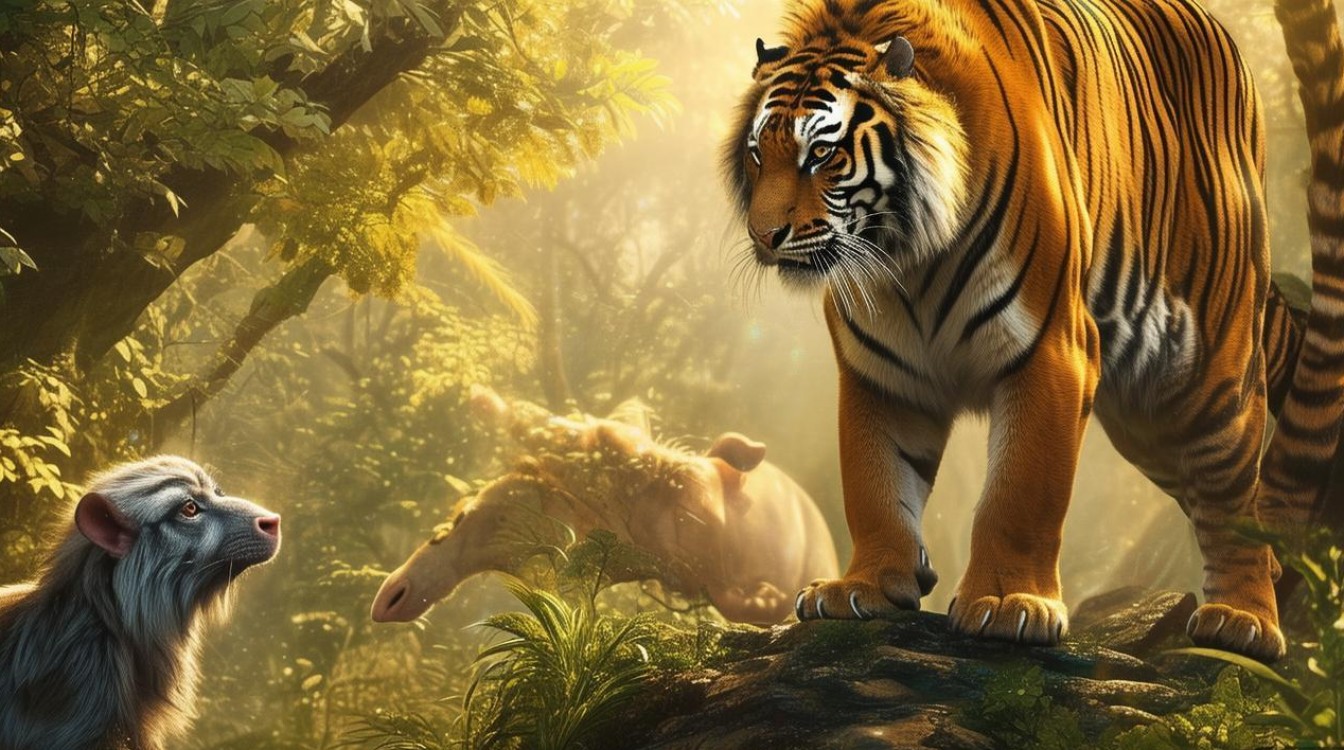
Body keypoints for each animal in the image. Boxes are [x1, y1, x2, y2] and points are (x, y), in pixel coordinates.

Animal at [725, 0, 1344, 661]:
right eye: (758, 153)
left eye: (822, 155)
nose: (765, 236)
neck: (905, 257)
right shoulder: (880, 372)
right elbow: (874, 482)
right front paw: (864, 587)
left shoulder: (1050, 348)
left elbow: (1020, 488)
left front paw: (1007, 603)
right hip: (1148, 423)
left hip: (1210, 374)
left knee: (1233, 494)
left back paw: (1243, 621)